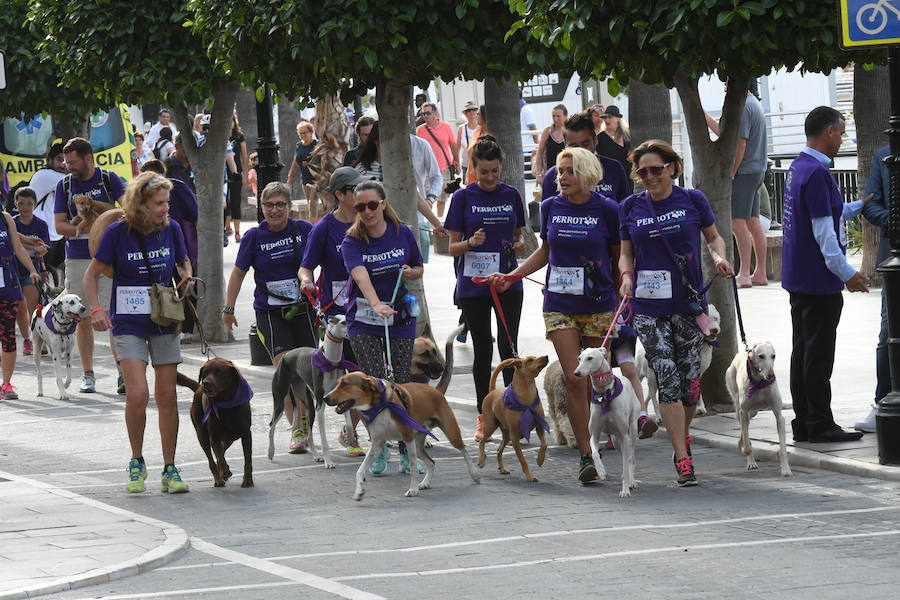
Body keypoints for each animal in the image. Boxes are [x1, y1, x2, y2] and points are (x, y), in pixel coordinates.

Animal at [181, 356, 253, 488]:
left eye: (219, 372)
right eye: (205, 373)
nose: (205, 383)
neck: (227, 404)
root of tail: (198, 389)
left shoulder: (246, 433)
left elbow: (247, 459)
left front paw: (247, 480)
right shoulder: (214, 435)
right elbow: (219, 457)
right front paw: (224, 471)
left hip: (229, 438)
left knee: (222, 449)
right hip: (202, 434)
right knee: (212, 458)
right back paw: (219, 479)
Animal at [324, 372, 478, 500]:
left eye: (345, 384)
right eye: (338, 383)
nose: (325, 398)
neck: (381, 406)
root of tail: (436, 391)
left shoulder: (407, 438)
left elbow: (413, 467)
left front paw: (413, 490)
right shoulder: (377, 444)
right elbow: (360, 471)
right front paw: (359, 492)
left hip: (451, 434)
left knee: (463, 450)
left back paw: (474, 473)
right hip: (418, 444)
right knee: (431, 462)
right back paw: (426, 483)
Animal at [576, 346, 640, 496]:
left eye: (590, 358)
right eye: (579, 359)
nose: (576, 373)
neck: (604, 393)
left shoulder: (624, 436)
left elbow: (626, 463)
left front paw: (625, 490)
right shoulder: (594, 435)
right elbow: (594, 453)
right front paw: (600, 471)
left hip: (632, 430)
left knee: (631, 457)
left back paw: (632, 481)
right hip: (616, 440)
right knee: (624, 455)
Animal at [728, 342, 792, 478]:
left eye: (773, 356)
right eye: (761, 356)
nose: (771, 375)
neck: (759, 383)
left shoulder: (778, 415)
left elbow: (783, 447)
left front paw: (786, 469)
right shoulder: (743, 411)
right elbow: (747, 445)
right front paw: (745, 450)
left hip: (754, 411)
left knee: (747, 423)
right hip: (737, 402)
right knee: (744, 427)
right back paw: (750, 461)